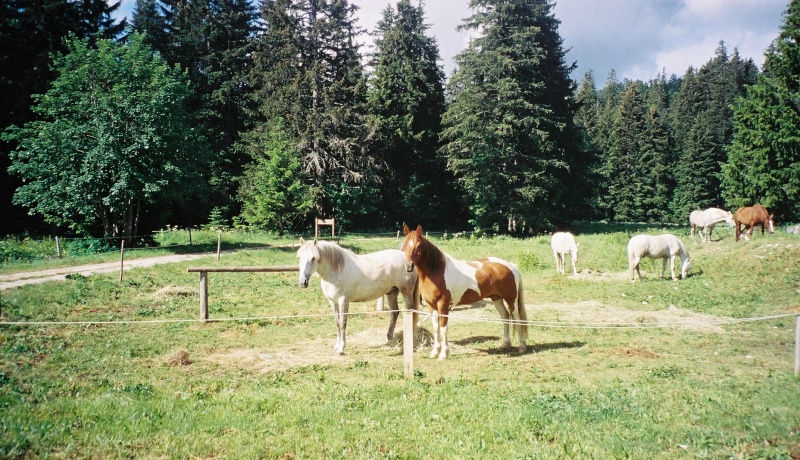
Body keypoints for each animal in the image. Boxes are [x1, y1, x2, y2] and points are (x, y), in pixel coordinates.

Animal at [398, 224, 524, 360]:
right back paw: (505, 344)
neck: (436, 271)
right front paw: (434, 352)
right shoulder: (431, 306)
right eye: (404, 245)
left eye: (419, 245)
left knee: (517, 318)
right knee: (505, 317)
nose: (409, 266)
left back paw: (522, 347)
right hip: (496, 298)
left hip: (511, 299)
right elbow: (436, 328)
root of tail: (511, 266)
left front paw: (444, 354)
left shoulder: (443, 305)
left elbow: (444, 328)